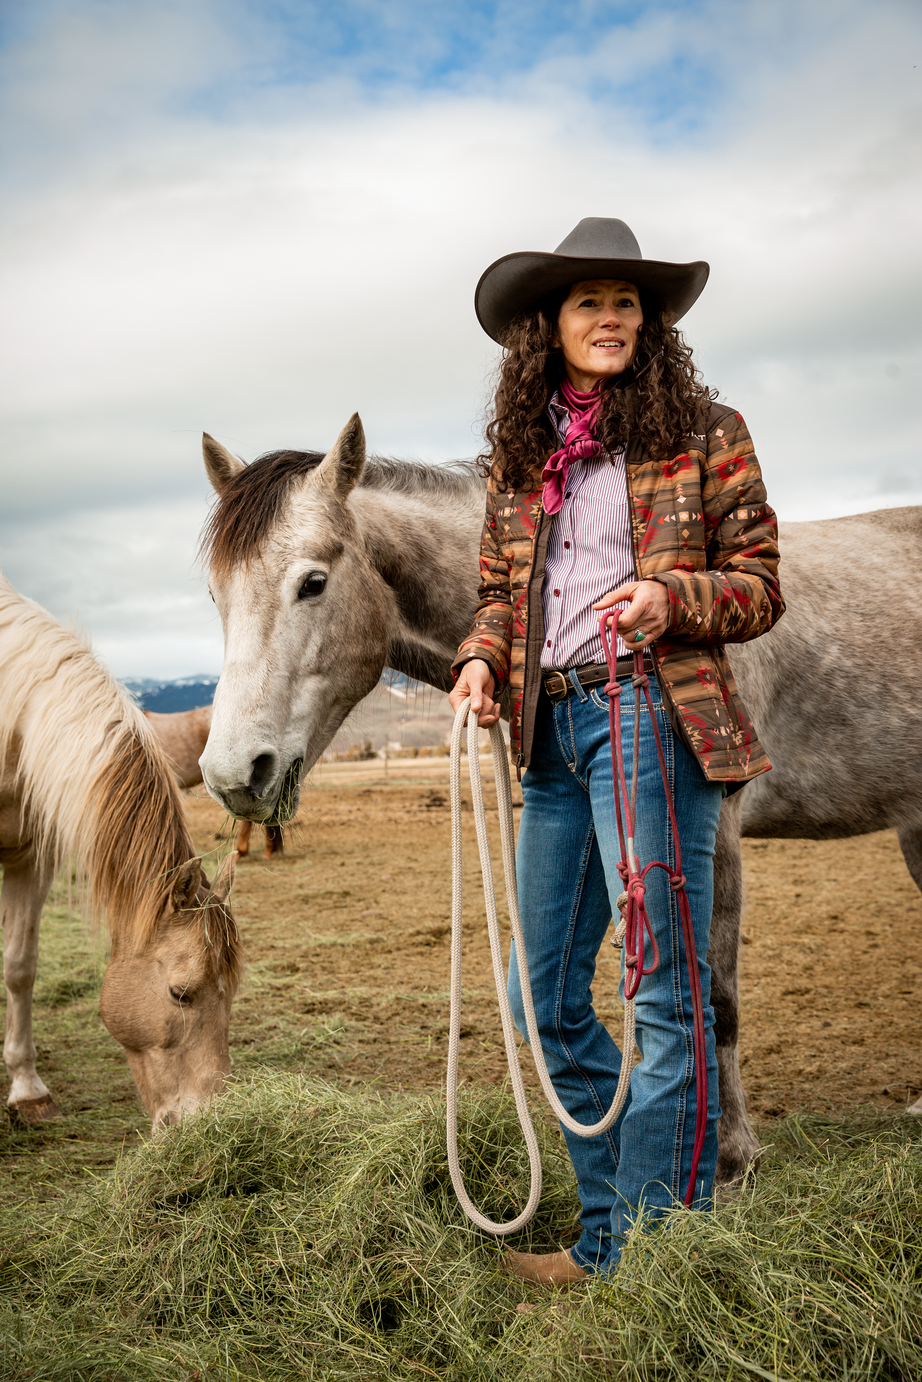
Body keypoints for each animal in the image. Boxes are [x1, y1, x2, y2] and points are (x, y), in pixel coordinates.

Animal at [199, 414, 917, 1182]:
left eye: (312, 582)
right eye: (216, 596)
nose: (233, 772)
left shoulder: (711, 832)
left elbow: (713, 997)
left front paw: (728, 1158)